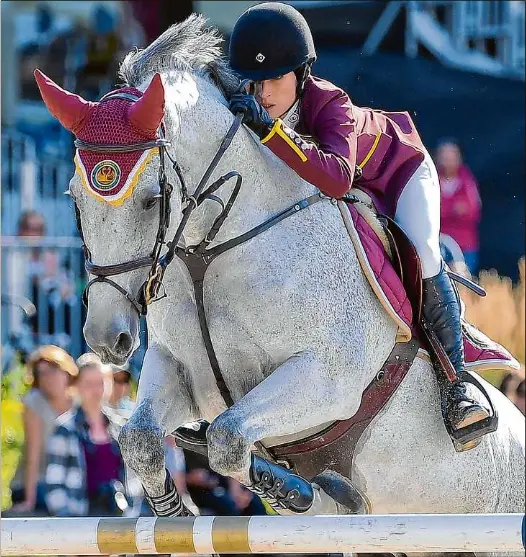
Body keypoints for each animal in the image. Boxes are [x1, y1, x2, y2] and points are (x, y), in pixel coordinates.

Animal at [36, 16, 524, 557]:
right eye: (74, 197)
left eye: (150, 199)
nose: (107, 339)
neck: (210, 254)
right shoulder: (178, 367)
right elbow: (141, 439)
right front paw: (177, 512)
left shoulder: (326, 377)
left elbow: (228, 438)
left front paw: (289, 489)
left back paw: (461, 410)